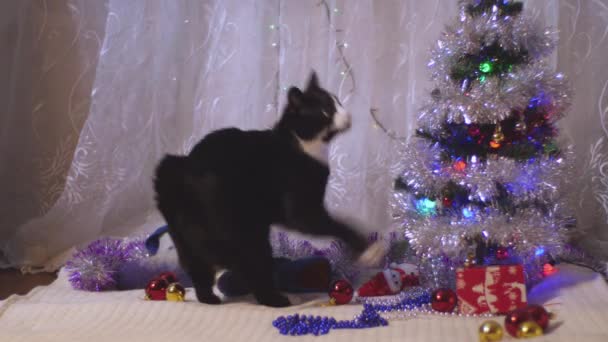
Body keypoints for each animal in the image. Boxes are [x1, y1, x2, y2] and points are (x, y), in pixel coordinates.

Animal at [157, 73, 382, 308]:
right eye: (325, 111)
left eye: (338, 102)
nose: (348, 114)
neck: (304, 145)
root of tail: (186, 173)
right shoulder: (301, 209)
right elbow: (338, 224)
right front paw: (370, 249)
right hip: (247, 231)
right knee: (253, 268)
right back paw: (279, 299)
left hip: (182, 226)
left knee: (200, 271)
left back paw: (210, 298)